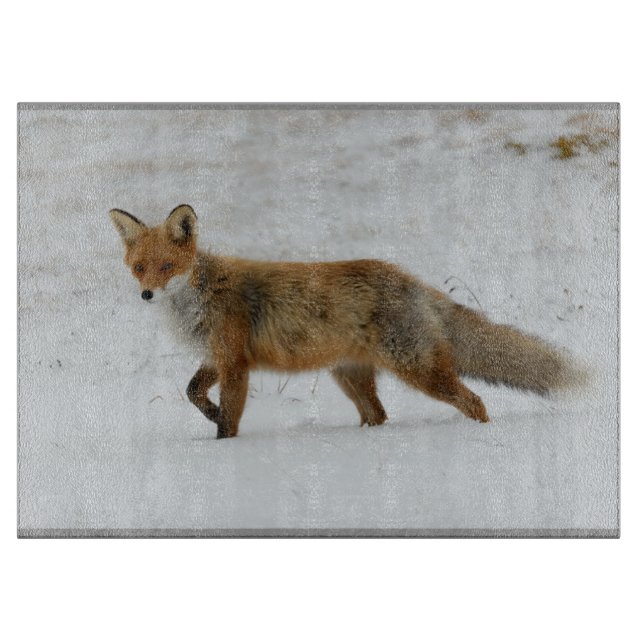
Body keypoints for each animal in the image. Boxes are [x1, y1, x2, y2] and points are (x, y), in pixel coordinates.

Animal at [110, 204, 584, 439]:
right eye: (140, 268)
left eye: (168, 266)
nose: (147, 295)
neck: (201, 297)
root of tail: (409, 279)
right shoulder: (218, 356)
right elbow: (192, 392)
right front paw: (207, 414)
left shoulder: (235, 363)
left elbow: (229, 422)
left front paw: (223, 445)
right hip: (350, 377)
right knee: (379, 416)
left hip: (418, 371)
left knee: (476, 402)